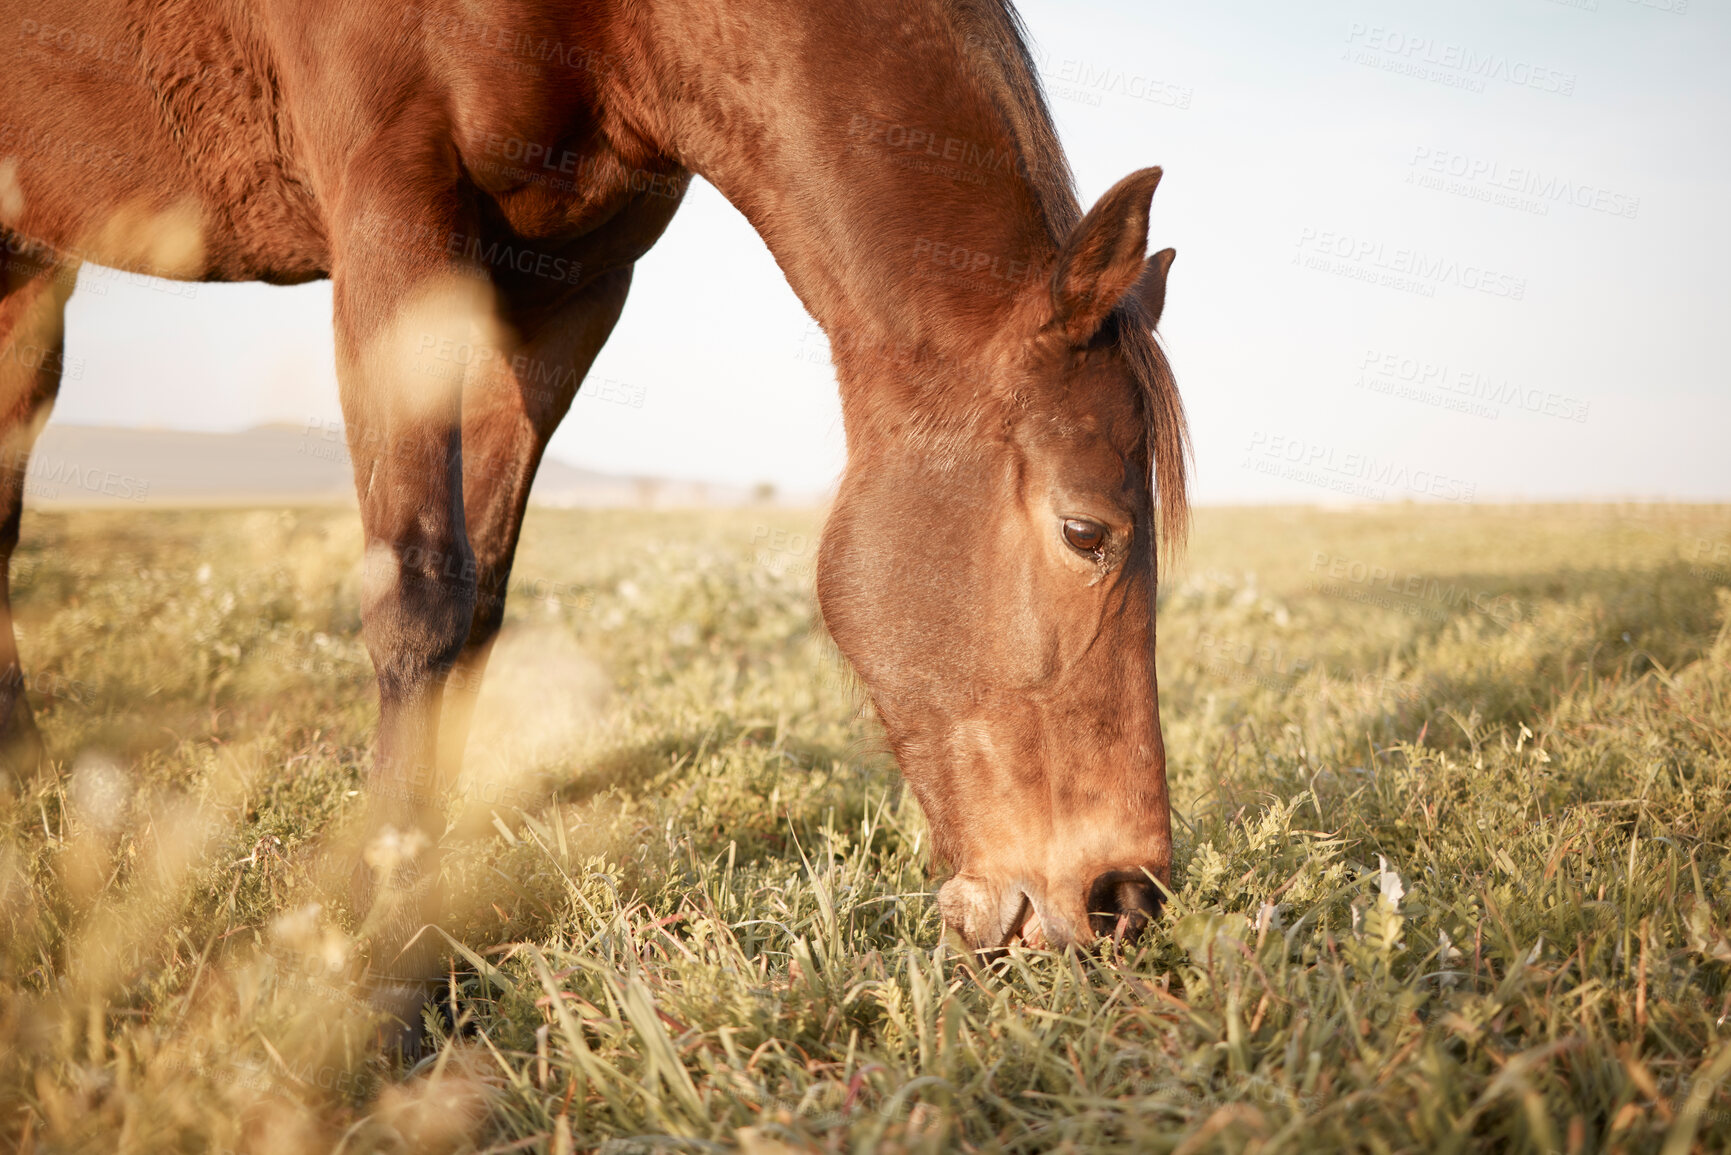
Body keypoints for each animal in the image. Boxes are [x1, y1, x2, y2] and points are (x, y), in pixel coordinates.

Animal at [0, 0, 1184, 1011]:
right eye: (1088, 532)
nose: (1126, 899)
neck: (623, 27)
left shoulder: (568, 285)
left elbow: (478, 598)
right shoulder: (394, 217)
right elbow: (419, 588)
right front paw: (385, 969)